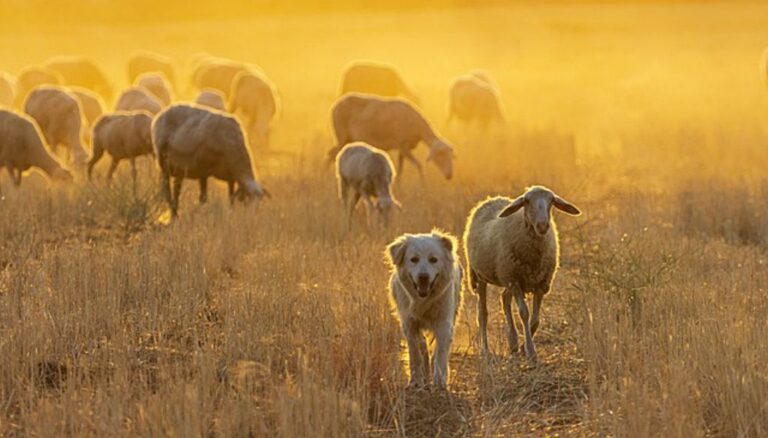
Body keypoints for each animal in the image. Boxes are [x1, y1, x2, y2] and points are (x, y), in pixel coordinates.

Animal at [384, 229, 462, 386]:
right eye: (414, 259)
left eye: (433, 259)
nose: (423, 277)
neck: (423, 300)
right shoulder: (409, 322)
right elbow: (415, 351)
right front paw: (416, 380)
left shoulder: (444, 323)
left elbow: (440, 353)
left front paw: (440, 381)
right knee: (422, 345)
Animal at [462, 186, 584, 362]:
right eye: (526, 201)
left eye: (552, 201)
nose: (543, 226)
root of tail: (491, 199)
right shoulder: (516, 282)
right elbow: (524, 314)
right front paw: (531, 351)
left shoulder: (541, 284)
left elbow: (536, 320)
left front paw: (522, 347)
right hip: (482, 276)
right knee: (482, 314)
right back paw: (485, 350)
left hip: (506, 277)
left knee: (504, 298)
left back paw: (512, 342)